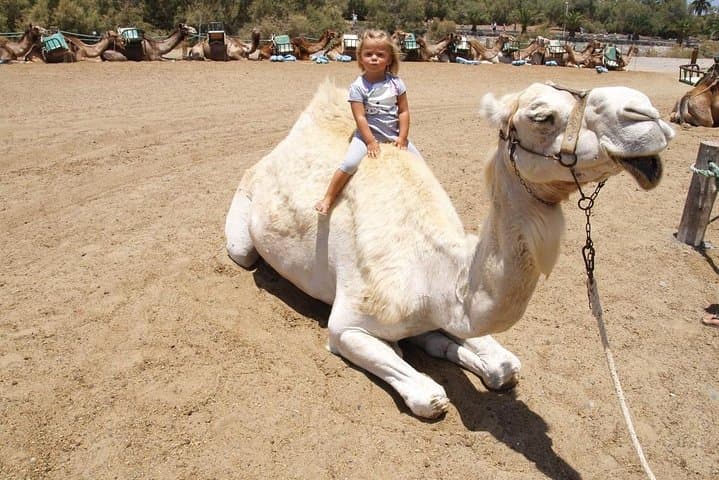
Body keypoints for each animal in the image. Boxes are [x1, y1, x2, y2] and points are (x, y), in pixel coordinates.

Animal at [224, 79, 675, 418]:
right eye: (542, 116)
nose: (647, 116)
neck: (435, 274)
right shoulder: (347, 325)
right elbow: (431, 396)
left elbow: (503, 366)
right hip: (241, 228)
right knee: (244, 252)